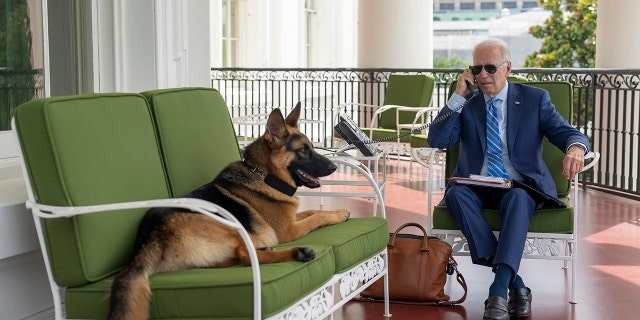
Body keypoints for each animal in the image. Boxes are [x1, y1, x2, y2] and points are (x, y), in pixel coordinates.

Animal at [109, 103, 350, 320]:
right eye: (304, 150)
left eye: (312, 147)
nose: (334, 168)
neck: (265, 176)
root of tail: (148, 238)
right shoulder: (287, 230)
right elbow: (317, 216)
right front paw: (337, 215)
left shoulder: (291, 219)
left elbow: (310, 211)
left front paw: (338, 211)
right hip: (229, 227)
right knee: (244, 255)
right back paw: (297, 252)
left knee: (235, 259)